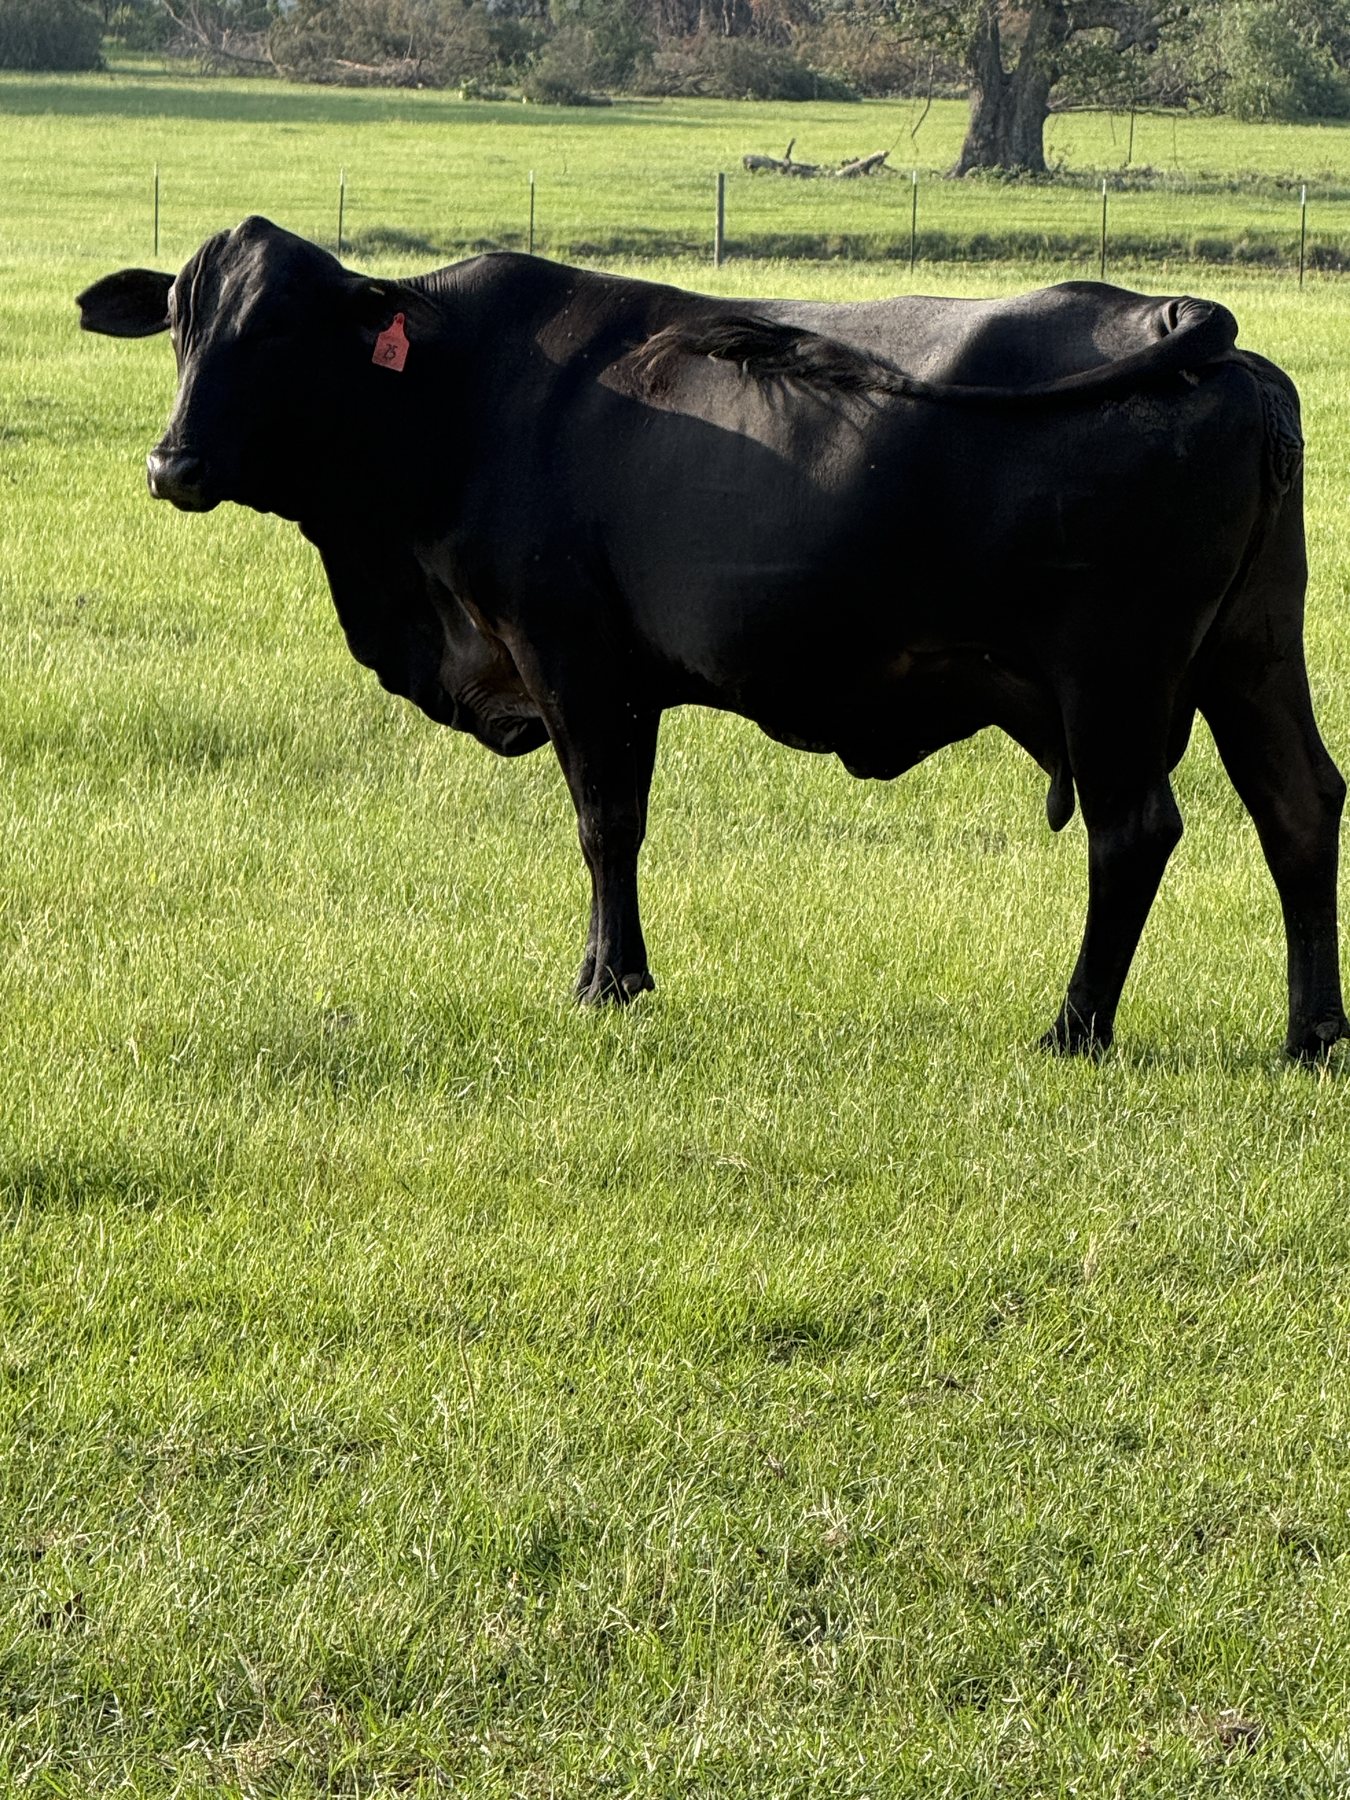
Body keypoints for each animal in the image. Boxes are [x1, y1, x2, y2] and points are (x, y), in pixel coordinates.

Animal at [76, 215, 1347, 1058]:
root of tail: (1193, 330)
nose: (171, 463)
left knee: (1135, 831)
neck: (463, 395)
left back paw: (1075, 1027)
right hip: (1251, 651)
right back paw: (1311, 1033)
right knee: (1298, 803)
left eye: (279, 331)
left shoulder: (574, 653)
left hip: (1115, 677)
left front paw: (610, 983)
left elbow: (606, 823)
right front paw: (612, 973)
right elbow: (616, 825)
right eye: (183, 326)